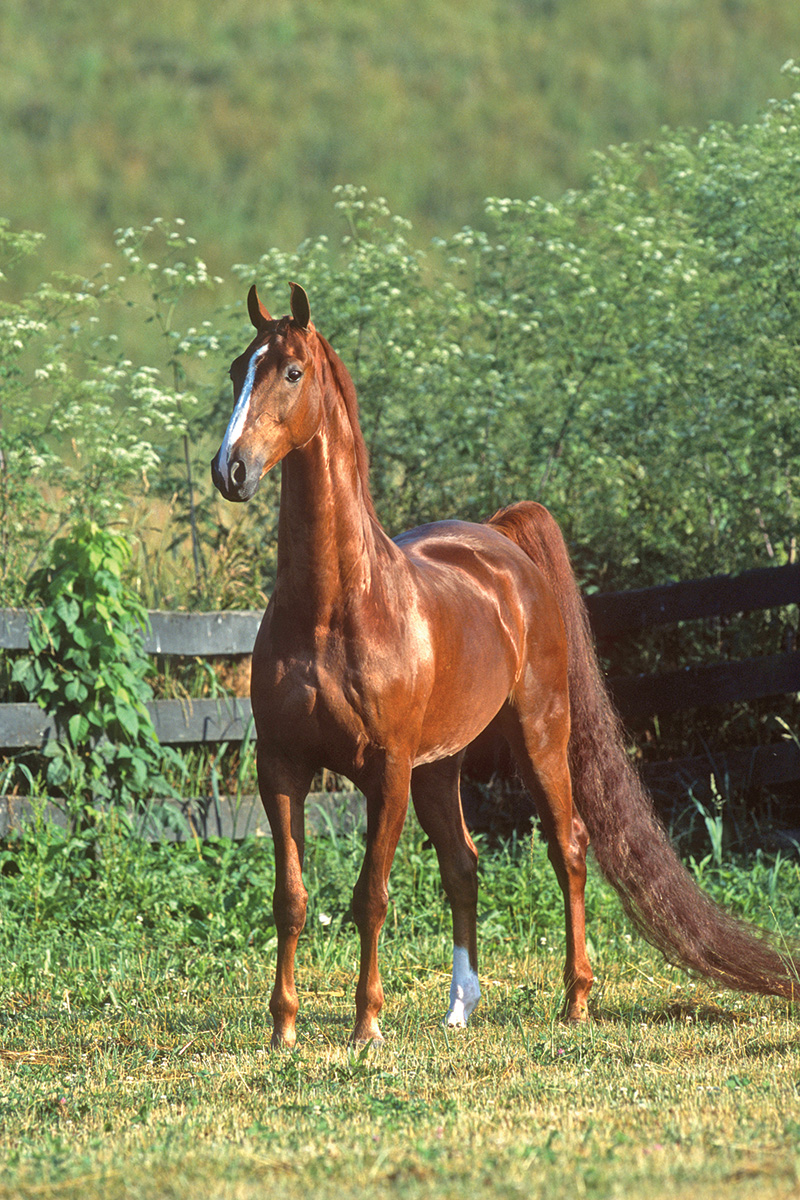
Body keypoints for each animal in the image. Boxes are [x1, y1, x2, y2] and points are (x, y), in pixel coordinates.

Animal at [212, 280, 800, 1041]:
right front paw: (283, 1029)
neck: (333, 608)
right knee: (464, 865)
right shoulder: (282, 766)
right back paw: (461, 1007)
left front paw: (366, 1027)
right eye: (237, 369)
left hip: (538, 735)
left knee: (568, 846)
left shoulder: (386, 772)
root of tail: (501, 539)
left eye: (291, 371)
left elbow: (371, 895)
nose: (231, 470)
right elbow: (291, 897)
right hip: (440, 768)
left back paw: (575, 1000)